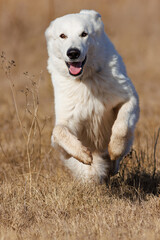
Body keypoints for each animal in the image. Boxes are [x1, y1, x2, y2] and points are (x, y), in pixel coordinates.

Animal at [45, 9, 139, 182]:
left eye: (84, 34)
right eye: (63, 36)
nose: (73, 53)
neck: (85, 79)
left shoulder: (129, 99)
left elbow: (121, 127)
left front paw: (115, 149)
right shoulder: (66, 122)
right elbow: (59, 131)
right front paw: (83, 153)